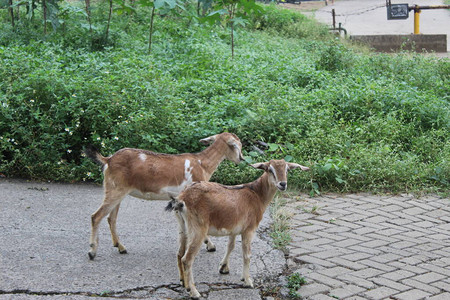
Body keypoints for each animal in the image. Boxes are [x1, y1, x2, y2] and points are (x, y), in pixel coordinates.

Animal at [84, 132, 243, 258]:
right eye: (237, 145)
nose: (241, 159)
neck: (202, 164)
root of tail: (108, 160)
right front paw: (210, 245)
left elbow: (182, 226)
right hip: (115, 190)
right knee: (96, 216)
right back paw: (92, 251)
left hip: (117, 191)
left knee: (111, 218)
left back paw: (121, 247)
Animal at [165, 158, 310, 298]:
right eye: (270, 169)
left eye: (287, 169)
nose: (282, 184)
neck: (257, 195)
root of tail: (182, 199)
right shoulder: (249, 229)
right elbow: (247, 254)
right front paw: (247, 280)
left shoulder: (233, 228)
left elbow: (231, 246)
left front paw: (223, 268)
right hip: (198, 228)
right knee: (187, 259)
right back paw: (194, 292)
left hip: (183, 226)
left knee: (179, 253)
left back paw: (184, 283)